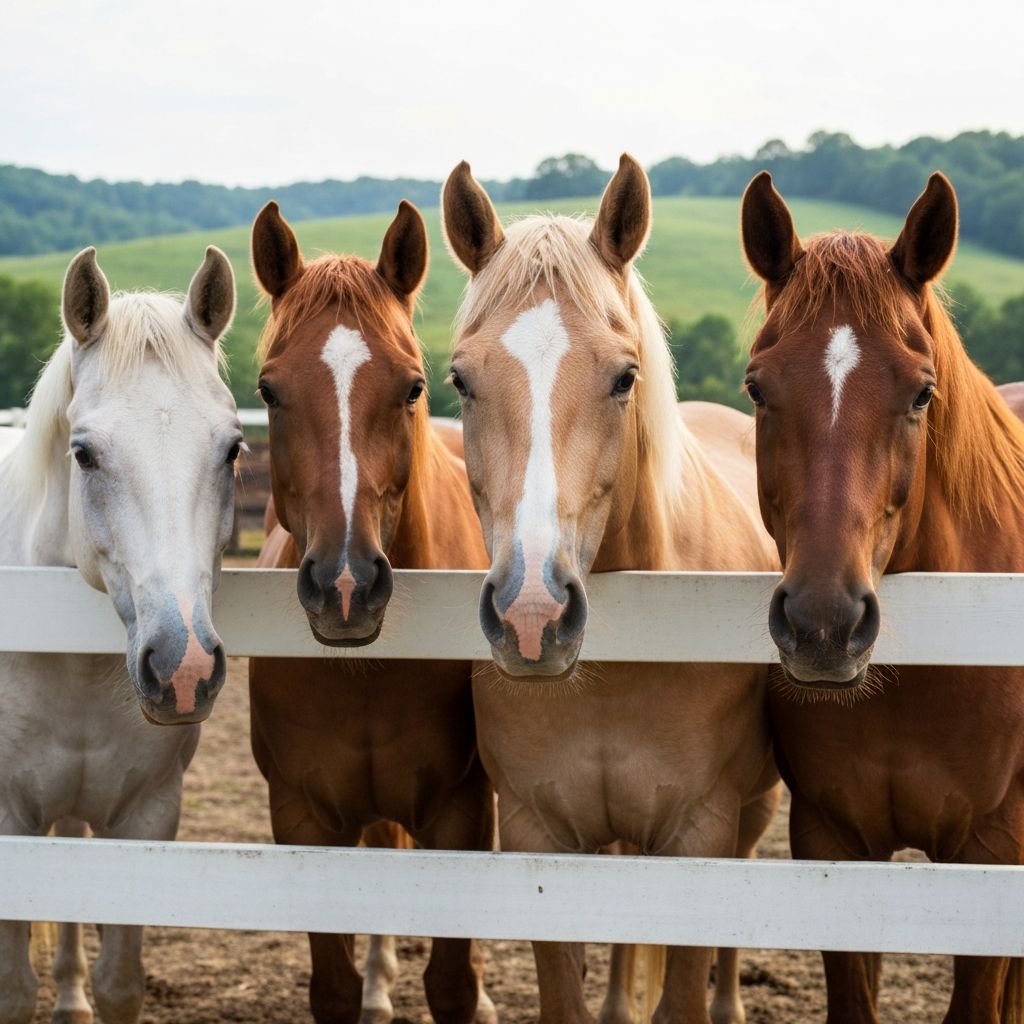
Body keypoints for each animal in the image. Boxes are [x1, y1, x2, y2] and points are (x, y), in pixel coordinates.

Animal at [0, 246, 239, 1024]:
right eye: (84, 454)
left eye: (233, 449)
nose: (184, 666)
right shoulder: (9, 823)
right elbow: (13, 990)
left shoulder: (147, 817)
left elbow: (119, 984)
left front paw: (86, 993)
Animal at [247, 199, 498, 1024]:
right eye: (268, 391)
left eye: (414, 387)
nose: (347, 586)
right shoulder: (301, 820)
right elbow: (332, 986)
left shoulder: (460, 816)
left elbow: (453, 984)